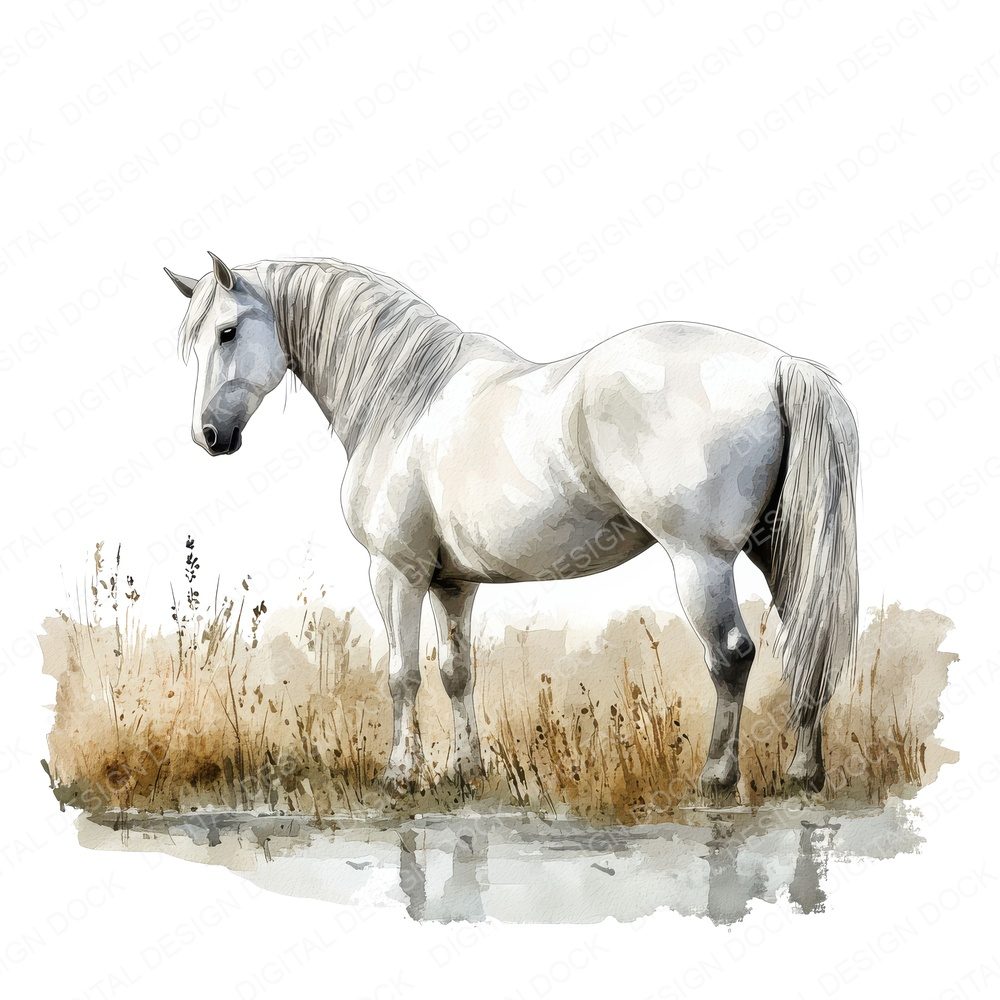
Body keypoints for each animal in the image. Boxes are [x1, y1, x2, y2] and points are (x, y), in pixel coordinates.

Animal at [165, 251, 859, 798]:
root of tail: (780, 365)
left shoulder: (396, 571)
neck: (406, 396)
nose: (208, 436)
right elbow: (457, 672)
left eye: (227, 331)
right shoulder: (453, 583)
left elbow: (402, 674)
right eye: (192, 343)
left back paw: (717, 777)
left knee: (732, 656)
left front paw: (401, 774)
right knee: (806, 643)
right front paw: (464, 770)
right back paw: (804, 773)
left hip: (701, 561)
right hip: (778, 553)